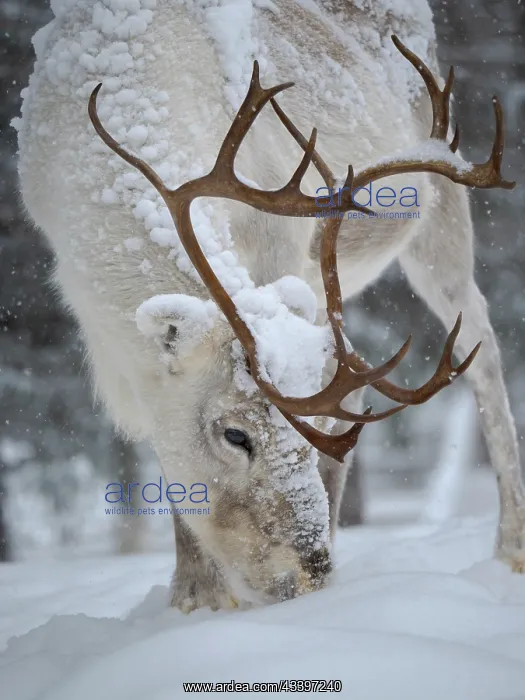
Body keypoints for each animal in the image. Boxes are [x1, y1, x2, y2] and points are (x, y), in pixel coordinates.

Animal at [15, 0, 525, 612]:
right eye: (236, 435)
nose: (311, 574)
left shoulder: (281, 254)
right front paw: (192, 598)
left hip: (441, 209)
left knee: (483, 351)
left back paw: (509, 548)